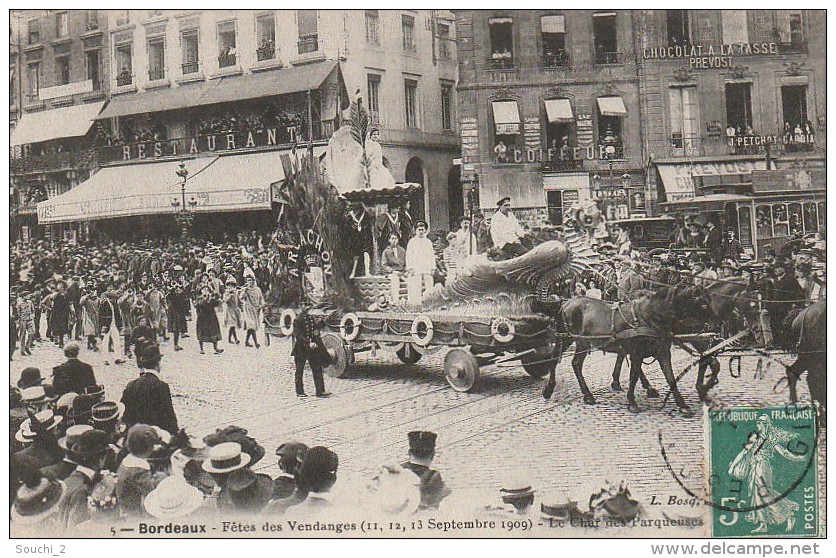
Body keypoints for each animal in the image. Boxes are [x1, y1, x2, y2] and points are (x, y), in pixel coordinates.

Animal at [544, 288, 712, 416]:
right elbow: (633, 376)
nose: (710, 330)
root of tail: (565, 303)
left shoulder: (663, 352)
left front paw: (682, 405)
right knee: (575, 364)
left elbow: (670, 378)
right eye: (702, 304)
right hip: (580, 341)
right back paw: (587, 395)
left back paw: (549, 389)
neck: (649, 317)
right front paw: (632, 402)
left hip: (568, 339)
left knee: (555, 359)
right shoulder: (636, 353)